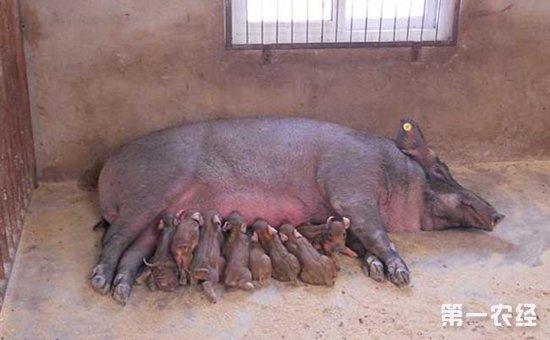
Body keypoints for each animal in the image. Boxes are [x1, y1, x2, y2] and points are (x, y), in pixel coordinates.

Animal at [89, 117, 504, 298]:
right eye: (439, 170)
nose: (497, 213)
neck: (389, 173)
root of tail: (107, 169)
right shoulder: (352, 187)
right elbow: (376, 232)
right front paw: (401, 275)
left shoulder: (335, 210)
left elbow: (360, 239)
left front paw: (374, 270)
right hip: (148, 193)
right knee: (113, 240)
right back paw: (99, 282)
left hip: (158, 218)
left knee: (133, 253)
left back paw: (121, 290)